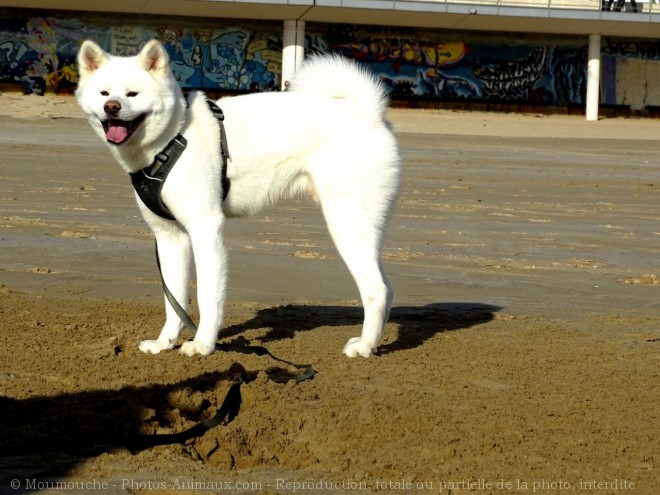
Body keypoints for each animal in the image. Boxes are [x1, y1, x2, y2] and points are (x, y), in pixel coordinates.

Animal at [75, 38, 400, 356]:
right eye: (104, 92)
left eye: (133, 93)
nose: (112, 107)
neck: (173, 138)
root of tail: (366, 113)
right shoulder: (169, 237)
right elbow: (174, 300)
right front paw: (164, 343)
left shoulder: (206, 229)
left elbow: (207, 296)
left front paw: (203, 345)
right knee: (387, 287)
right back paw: (374, 343)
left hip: (347, 224)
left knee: (376, 290)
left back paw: (364, 346)